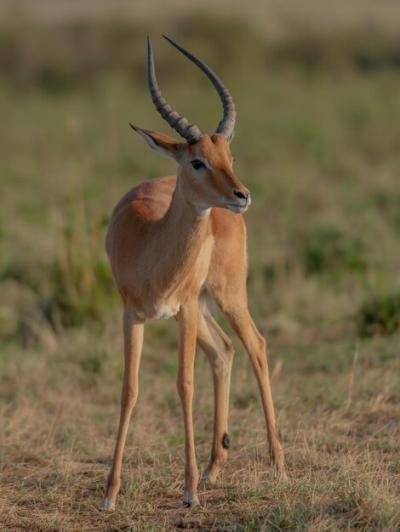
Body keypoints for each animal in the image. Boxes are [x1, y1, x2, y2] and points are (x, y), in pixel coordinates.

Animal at [101, 35, 286, 510]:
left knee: (255, 345)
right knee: (224, 350)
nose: (242, 195)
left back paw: (277, 465)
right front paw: (110, 492)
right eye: (198, 160)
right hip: (201, 306)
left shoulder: (181, 311)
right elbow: (129, 390)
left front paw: (189, 491)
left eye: (229, 154)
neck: (150, 242)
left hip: (225, 296)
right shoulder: (132, 315)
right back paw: (214, 466)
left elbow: (184, 384)